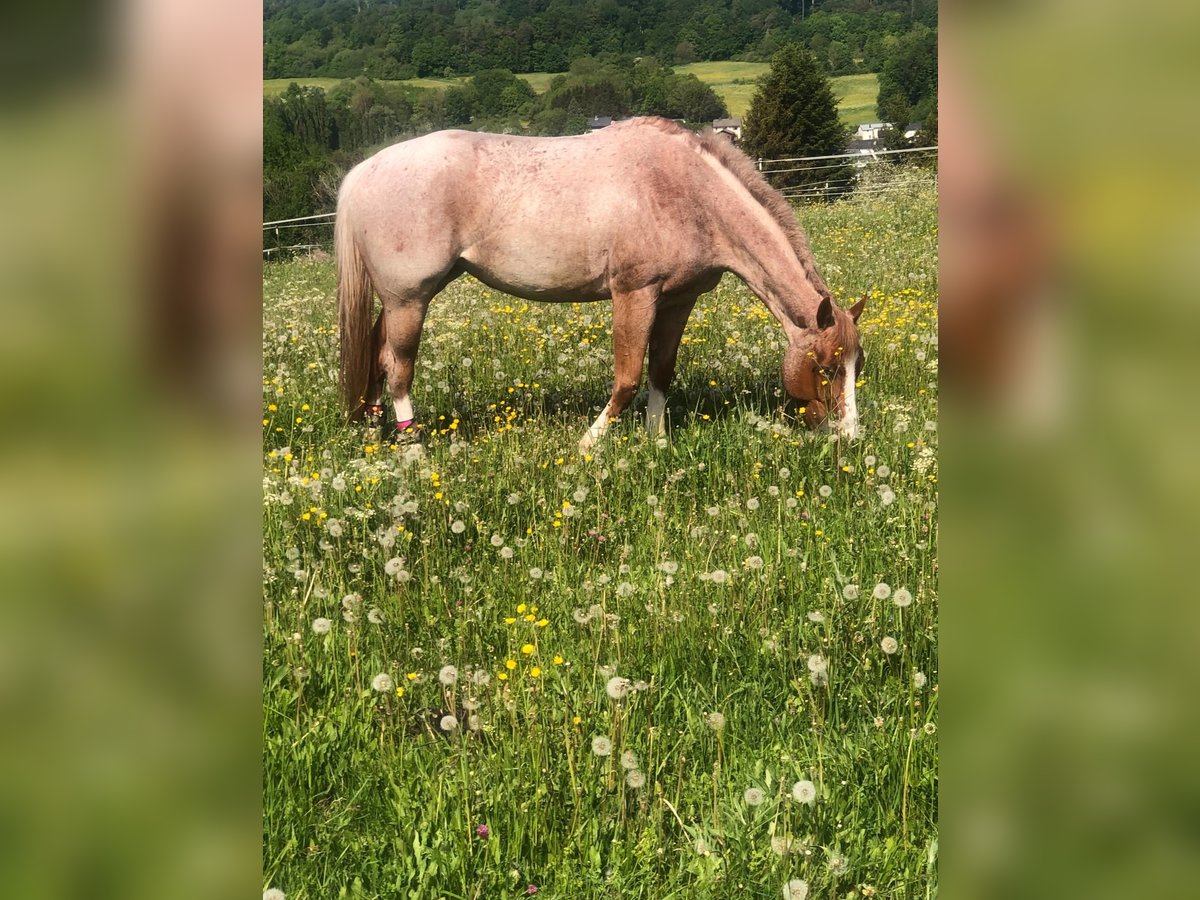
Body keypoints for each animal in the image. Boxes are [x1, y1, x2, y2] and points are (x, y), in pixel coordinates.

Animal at [333, 114, 868, 448]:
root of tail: (362, 172)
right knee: (397, 366)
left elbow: (660, 372)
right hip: (410, 299)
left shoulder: (678, 301)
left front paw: (656, 442)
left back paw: (374, 435)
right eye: (825, 368)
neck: (687, 192)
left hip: (407, 298)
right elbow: (627, 378)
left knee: (376, 353)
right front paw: (588, 443)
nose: (850, 437)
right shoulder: (634, 294)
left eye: (856, 366)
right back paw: (413, 446)